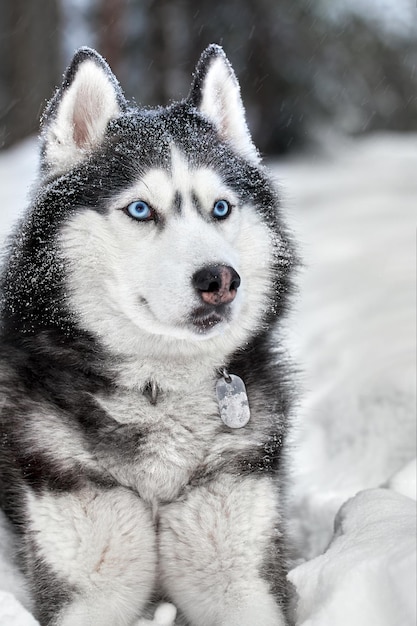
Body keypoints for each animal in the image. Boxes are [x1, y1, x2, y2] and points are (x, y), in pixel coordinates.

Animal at [0, 45, 296, 624]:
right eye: (141, 208)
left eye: (220, 208)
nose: (220, 280)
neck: (159, 388)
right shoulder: (88, 587)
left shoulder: (237, 574)